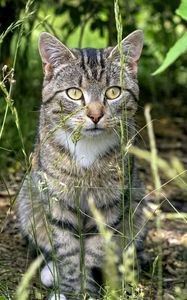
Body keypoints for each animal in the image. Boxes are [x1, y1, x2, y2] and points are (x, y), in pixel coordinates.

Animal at [17, 29, 146, 300]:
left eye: (113, 92)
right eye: (74, 93)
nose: (95, 115)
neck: (87, 148)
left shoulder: (109, 206)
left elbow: (95, 252)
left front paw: (88, 291)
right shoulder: (56, 201)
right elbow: (67, 252)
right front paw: (70, 290)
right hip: (28, 205)